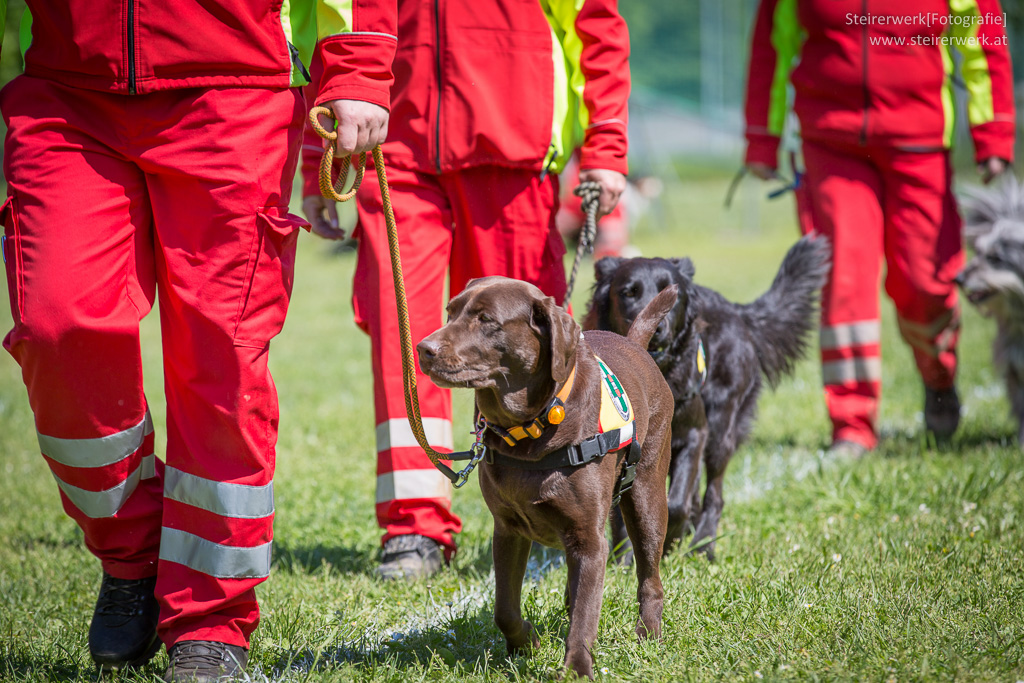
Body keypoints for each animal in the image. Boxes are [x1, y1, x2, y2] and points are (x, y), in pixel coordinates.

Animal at [585, 235, 831, 561]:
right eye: (629, 292)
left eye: (671, 296)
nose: (657, 329)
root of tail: (738, 312)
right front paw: (623, 559)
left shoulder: (694, 433)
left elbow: (676, 503)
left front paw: (670, 540)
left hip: (720, 428)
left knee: (713, 493)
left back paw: (703, 544)